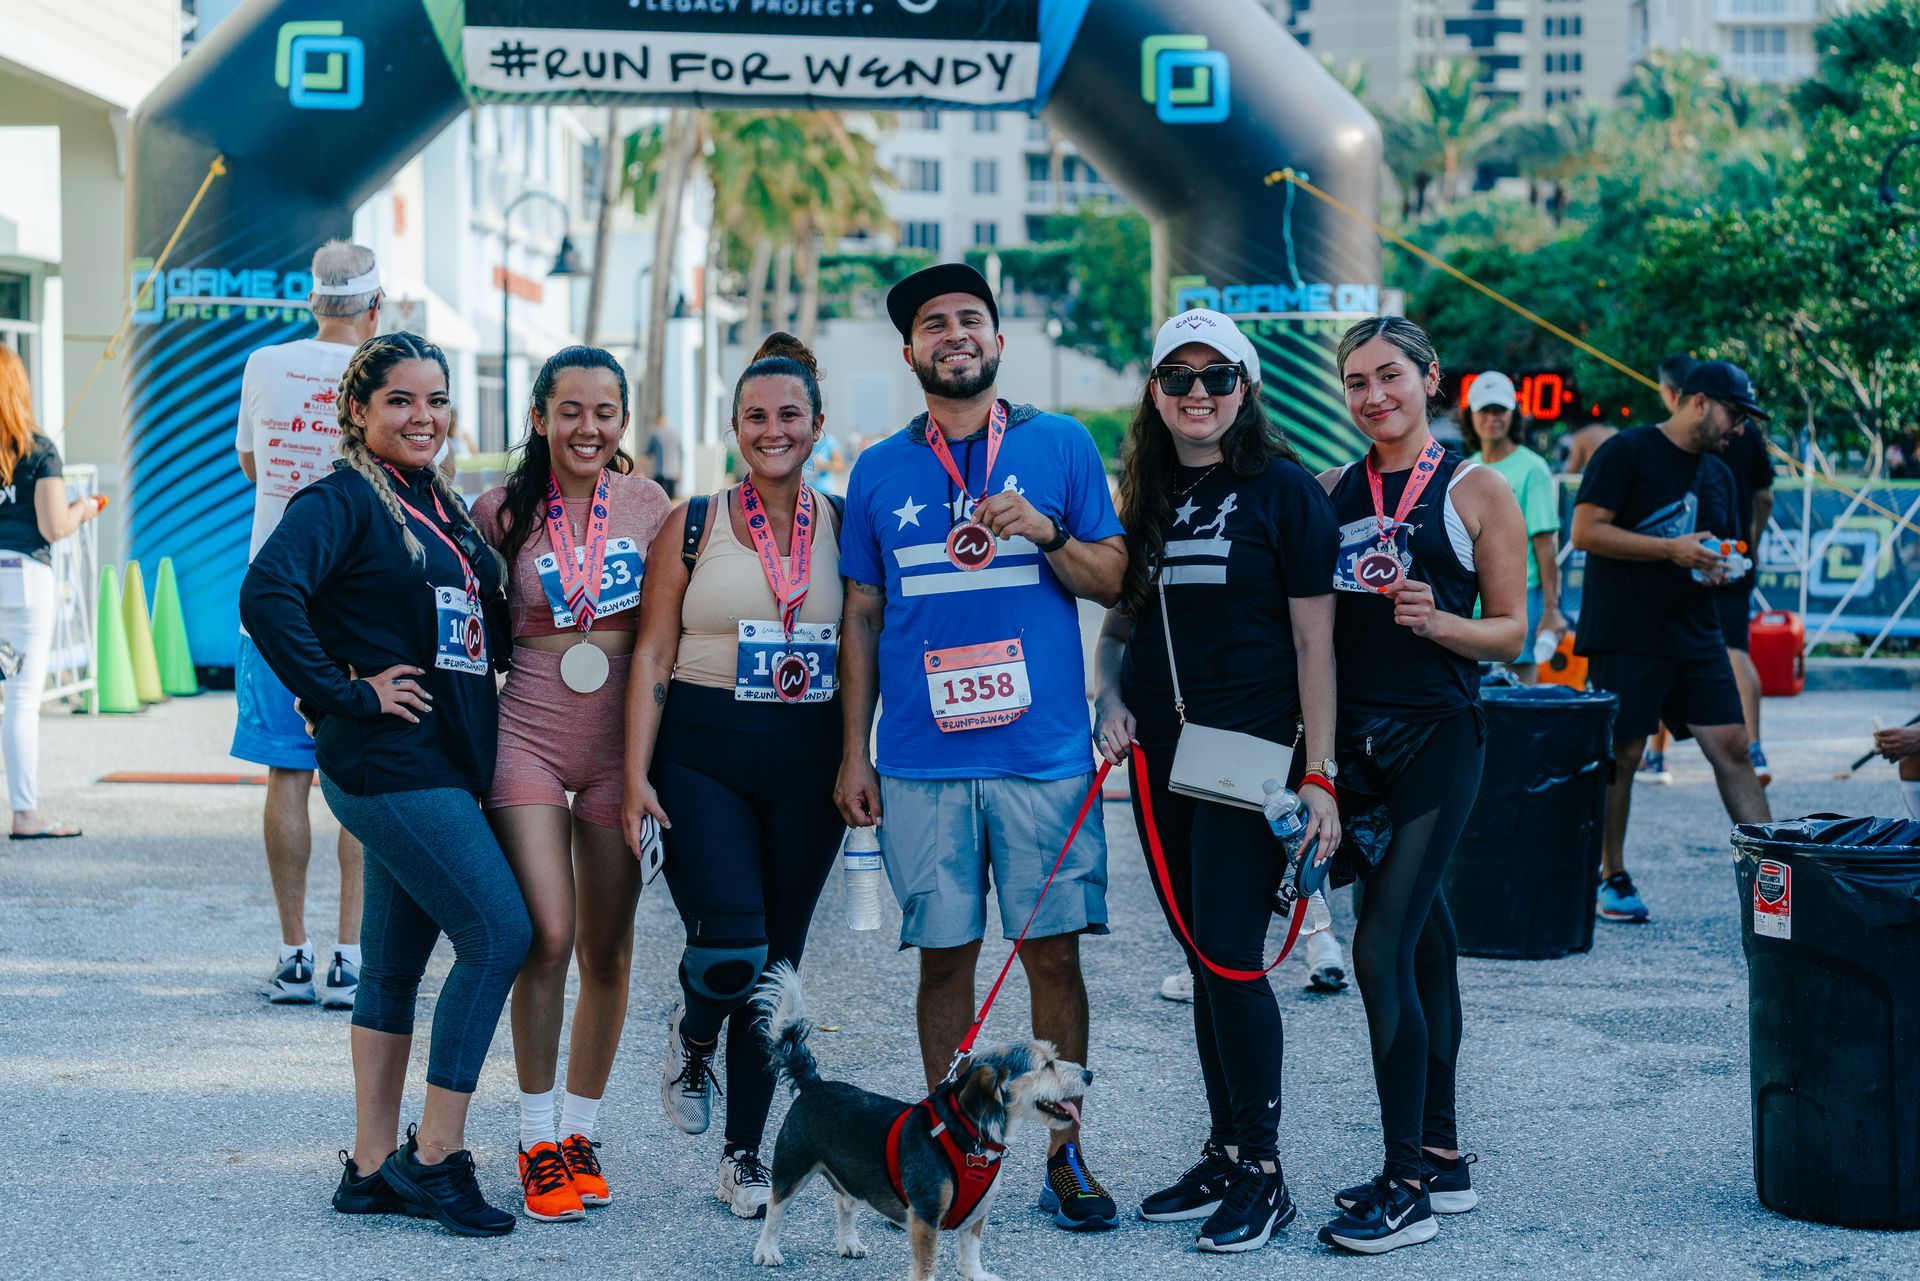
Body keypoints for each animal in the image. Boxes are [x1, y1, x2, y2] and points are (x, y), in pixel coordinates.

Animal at [749, 963, 1091, 1281]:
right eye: (1046, 1065)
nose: (1089, 1074)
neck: (969, 1132)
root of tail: (814, 1083)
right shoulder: (926, 1216)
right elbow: (926, 1264)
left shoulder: (977, 1213)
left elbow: (971, 1250)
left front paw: (976, 1274)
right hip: (792, 1167)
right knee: (775, 1209)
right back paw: (767, 1251)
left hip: (852, 1172)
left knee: (843, 1203)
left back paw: (849, 1243)